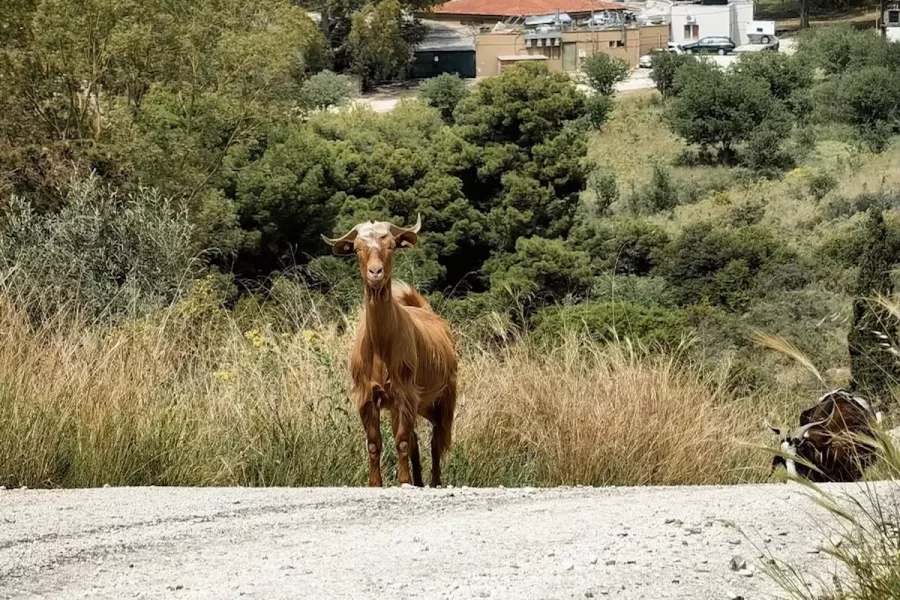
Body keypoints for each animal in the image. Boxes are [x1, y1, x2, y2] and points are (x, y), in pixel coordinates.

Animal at [322, 216, 458, 488]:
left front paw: (404, 481)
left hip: (443, 397)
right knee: (419, 439)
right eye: (357, 248)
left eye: (392, 246)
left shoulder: (405, 392)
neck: (381, 344)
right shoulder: (367, 395)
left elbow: (402, 441)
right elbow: (375, 443)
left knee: (437, 439)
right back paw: (419, 481)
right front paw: (375, 483)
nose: (376, 272)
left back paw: (434, 481)